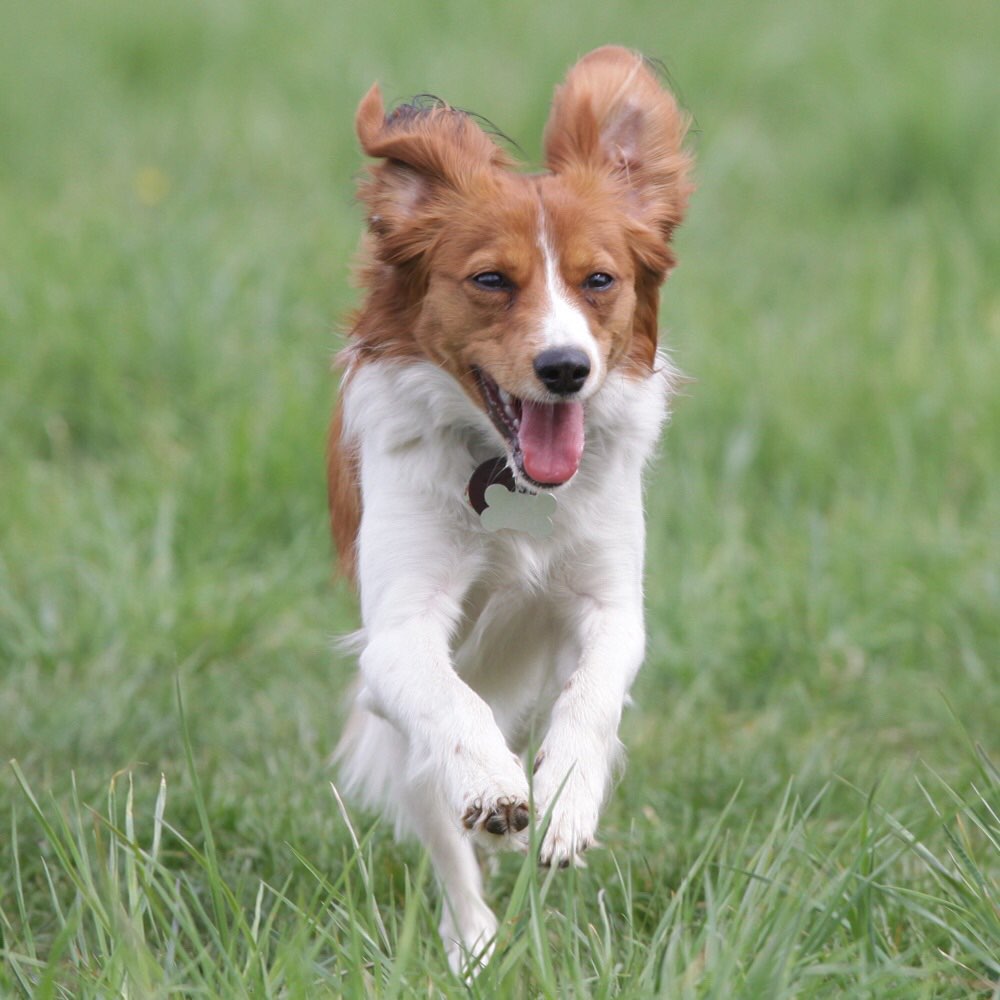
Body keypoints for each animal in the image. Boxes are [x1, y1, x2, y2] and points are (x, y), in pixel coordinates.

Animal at [328, 48, 688, 976]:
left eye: (600, 281)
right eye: (492, 280)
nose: (564, 368)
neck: (513, 476)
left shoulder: (611, 605)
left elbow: (591, 698)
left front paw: (563, 800)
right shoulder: (396, 636)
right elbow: (451, 704)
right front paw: (497, 788)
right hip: (407, 748)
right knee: (447, 836)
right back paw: (475, 943)